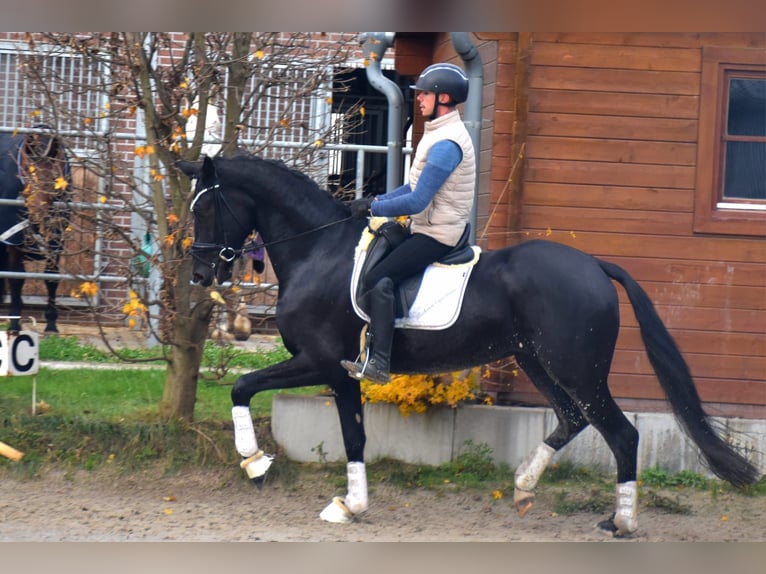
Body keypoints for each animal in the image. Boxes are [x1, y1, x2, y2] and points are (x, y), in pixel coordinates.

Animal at [0, 129, 71, 332]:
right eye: (26, 175)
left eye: (54, 179)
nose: (37, 217)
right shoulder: (14, 241)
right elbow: (16, 279)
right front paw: (14, 323)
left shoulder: (56, 241)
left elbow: (51, 277)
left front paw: (52, 324)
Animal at [180, 155, 760, 536]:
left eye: (205, 210)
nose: (201, 274)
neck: (318, 249)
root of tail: (595, 265)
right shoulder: (343, 371)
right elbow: (354, 438)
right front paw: (351, 505)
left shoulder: (318, 361)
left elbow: (241, 385)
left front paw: (255, 462)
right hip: (536, 360)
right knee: (573, 419)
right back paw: (524, 485)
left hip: (577, 368)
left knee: (621, 433)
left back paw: (621, 520)